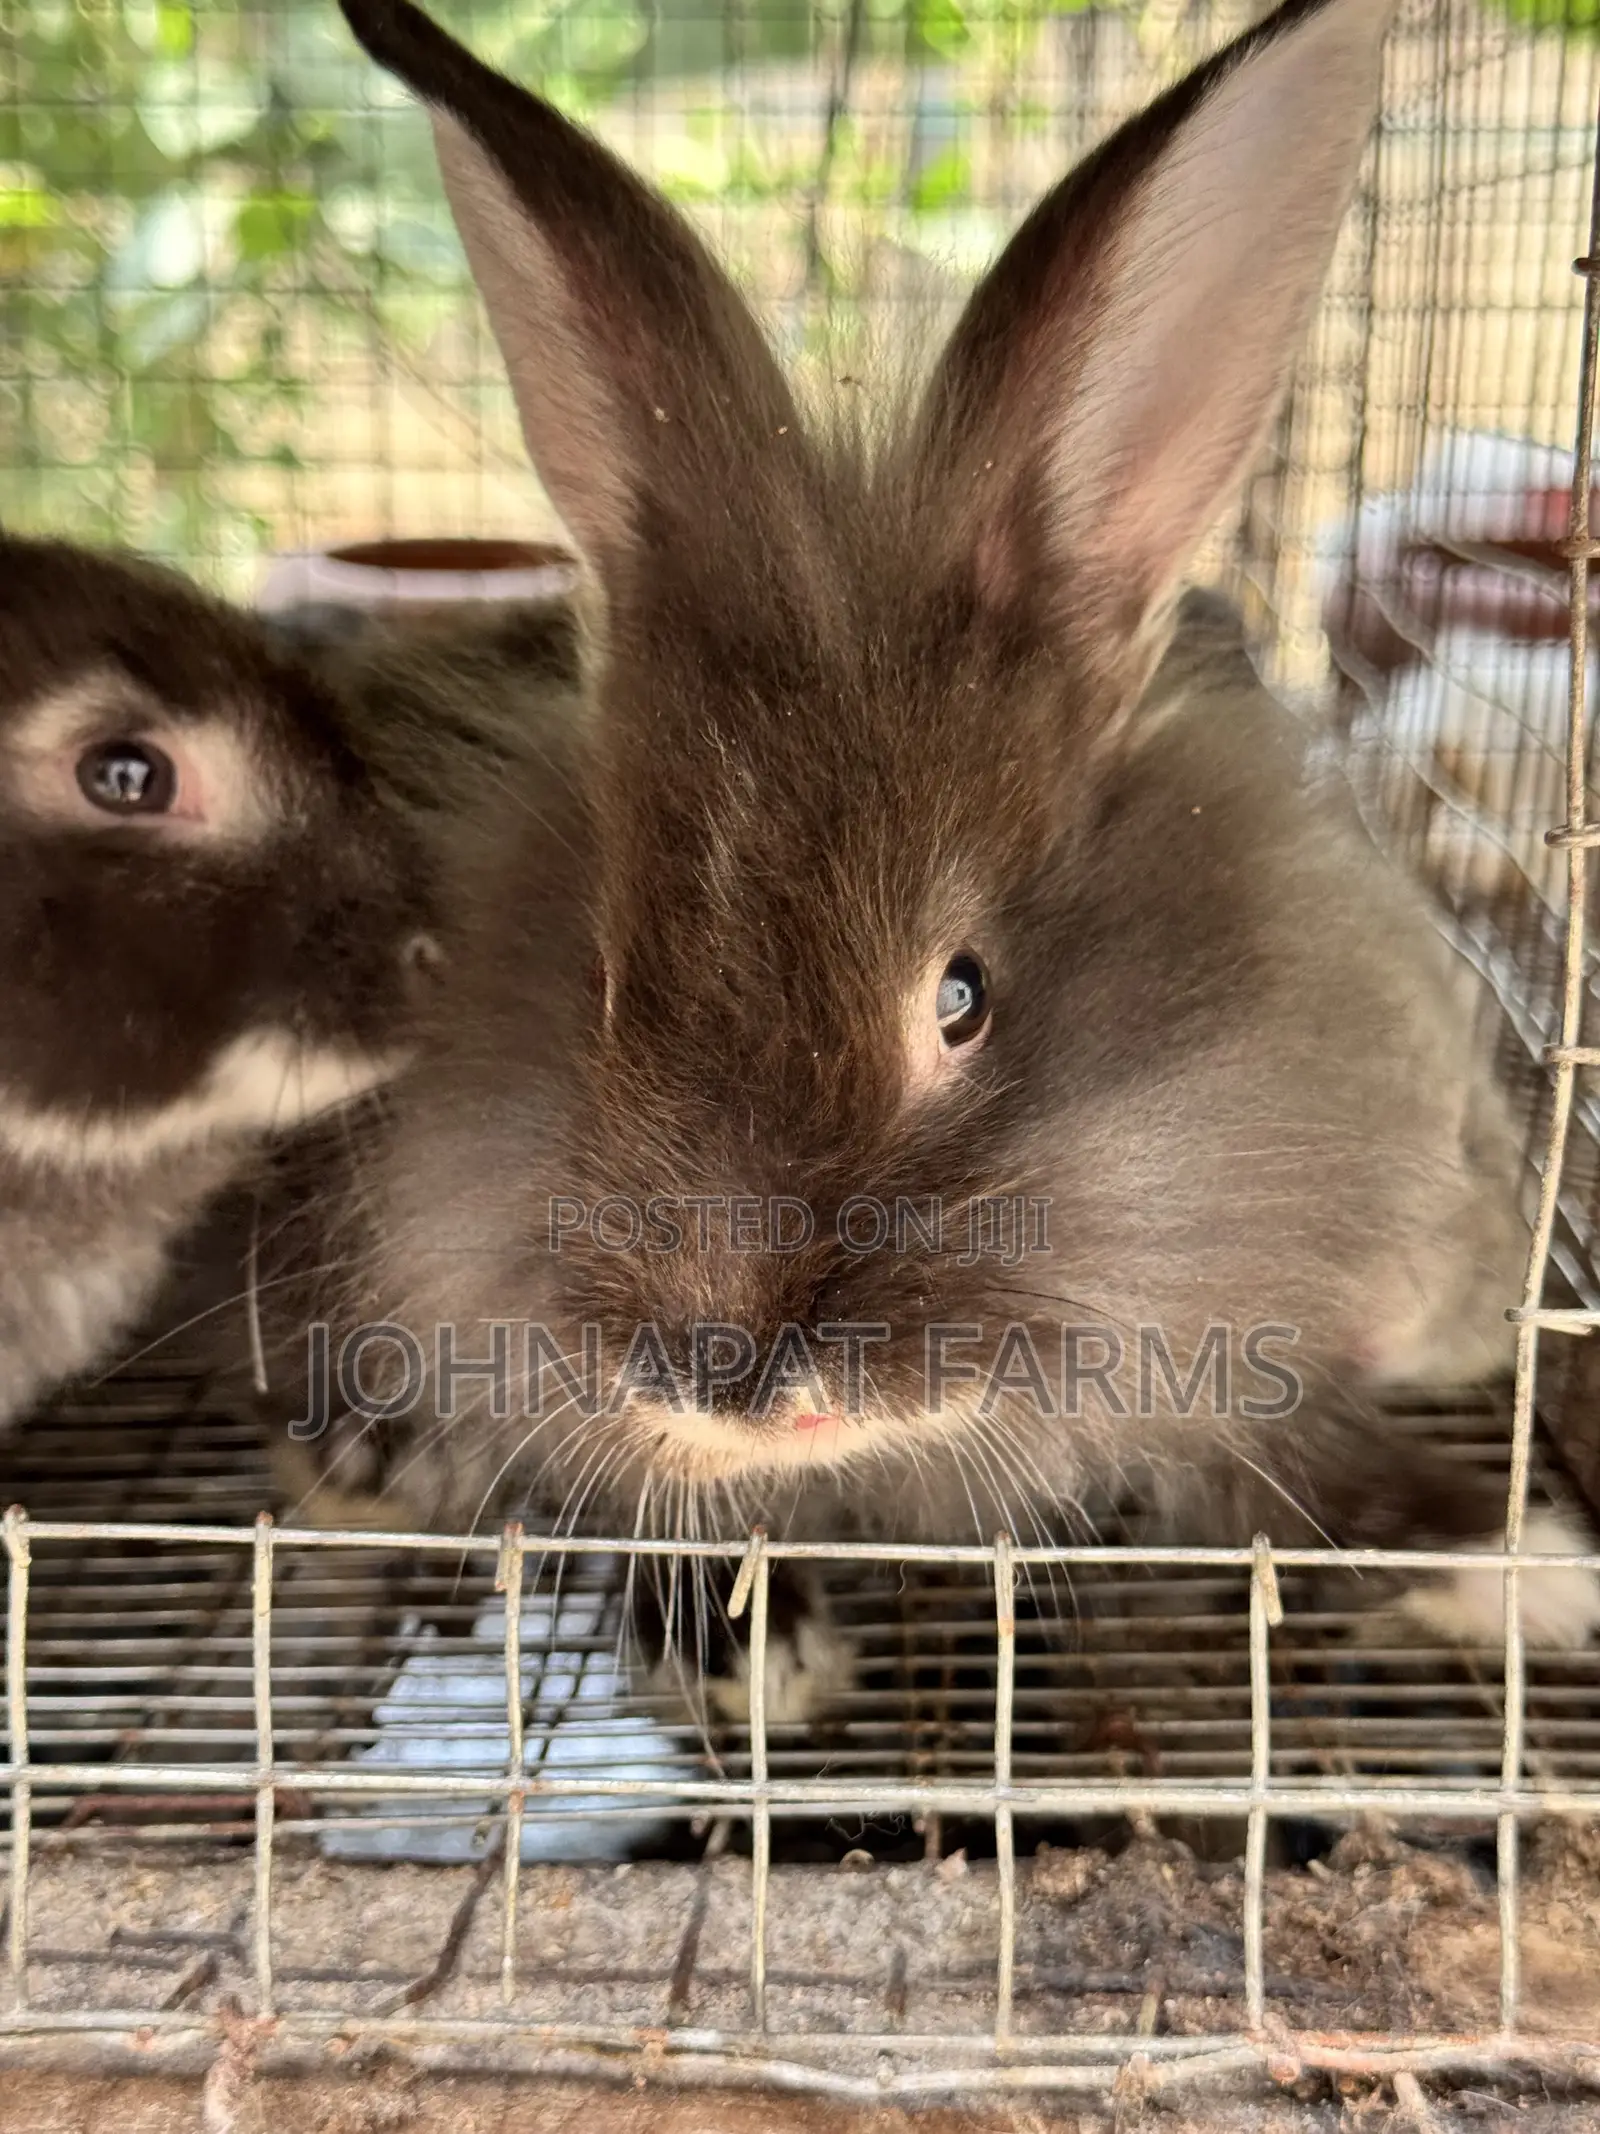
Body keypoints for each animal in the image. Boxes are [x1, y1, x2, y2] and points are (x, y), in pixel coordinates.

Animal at [263, 0, 1599, 1713]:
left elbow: (1291, 1463)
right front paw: (746, 1646)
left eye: (962, 997)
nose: (726, 1381)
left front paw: (1525, 1569)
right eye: (609, 986)